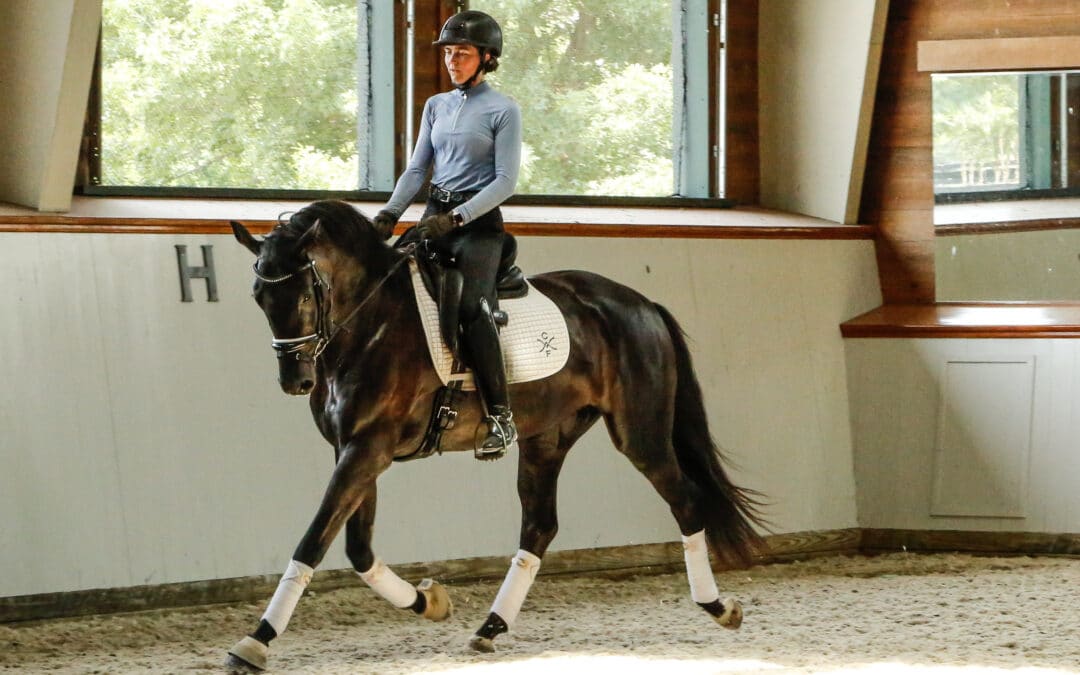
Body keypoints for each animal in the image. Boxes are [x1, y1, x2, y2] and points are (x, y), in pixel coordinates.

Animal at [226, 199, 766, 671]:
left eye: (302, 294)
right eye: (259, 298)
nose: (296, 381)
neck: (371, 325)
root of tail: (642, 304)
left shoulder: (367, 449)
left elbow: (313, 541)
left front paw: (256, 642)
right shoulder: (355, 449)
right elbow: (358, 550)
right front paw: (430, 601)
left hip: (640, 433)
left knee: (686, 500)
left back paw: (720, 607)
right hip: (548, 437)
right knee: (540, 526)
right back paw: (489, 627)